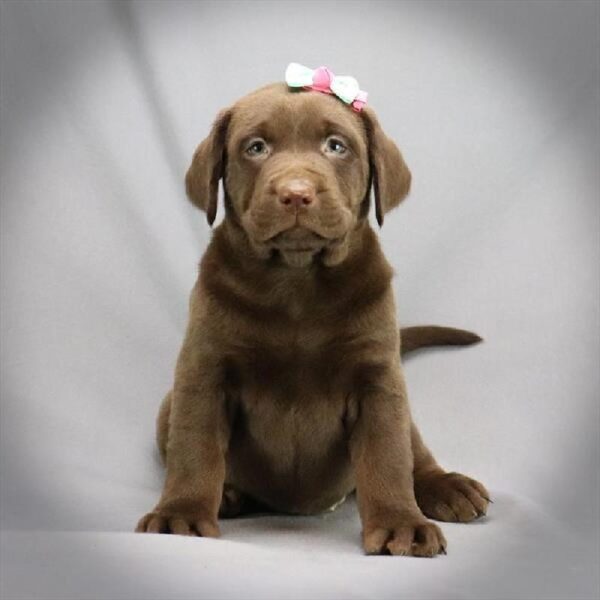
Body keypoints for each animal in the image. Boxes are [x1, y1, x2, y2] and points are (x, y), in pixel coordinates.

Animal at [138, 82, 490, 556]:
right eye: (256, 147)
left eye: (336, 146)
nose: (296, 193)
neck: (296, 280)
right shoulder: (203, 371)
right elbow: (194, 449)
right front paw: (181, 515)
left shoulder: (378, 381)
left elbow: (389, 457)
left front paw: (401, 524)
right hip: (168, 404)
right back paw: (228, 494)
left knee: (415, 451)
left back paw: (447, 486)